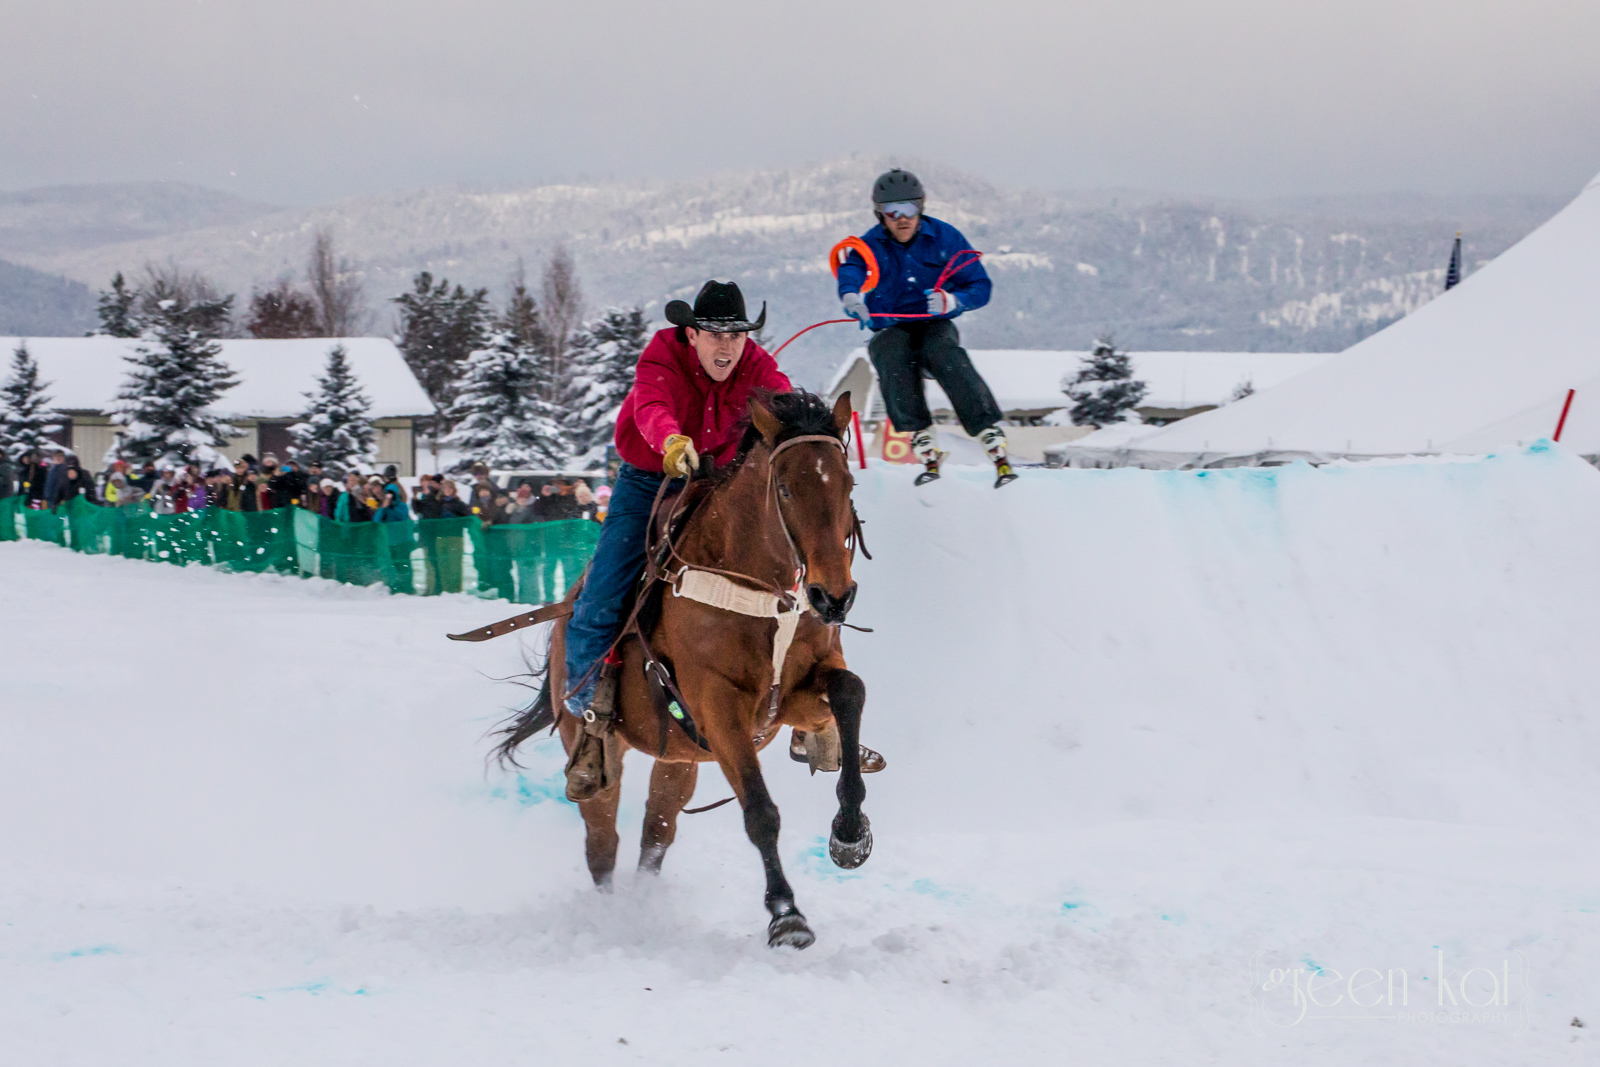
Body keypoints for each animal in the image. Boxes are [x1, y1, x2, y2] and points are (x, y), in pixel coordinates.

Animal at [496, 391, 876, 953]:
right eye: (785, 488)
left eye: (848, 484)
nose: (834, 596)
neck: (760, 589)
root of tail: (566, 615)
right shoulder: (718, 708)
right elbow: (760, 812)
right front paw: (786, 915)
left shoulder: (796, 692)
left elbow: (851, 691)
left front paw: (849, 829)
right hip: (601, 755)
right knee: (602, 840)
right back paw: (614, 918)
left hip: (678, 760)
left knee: (656, 830)